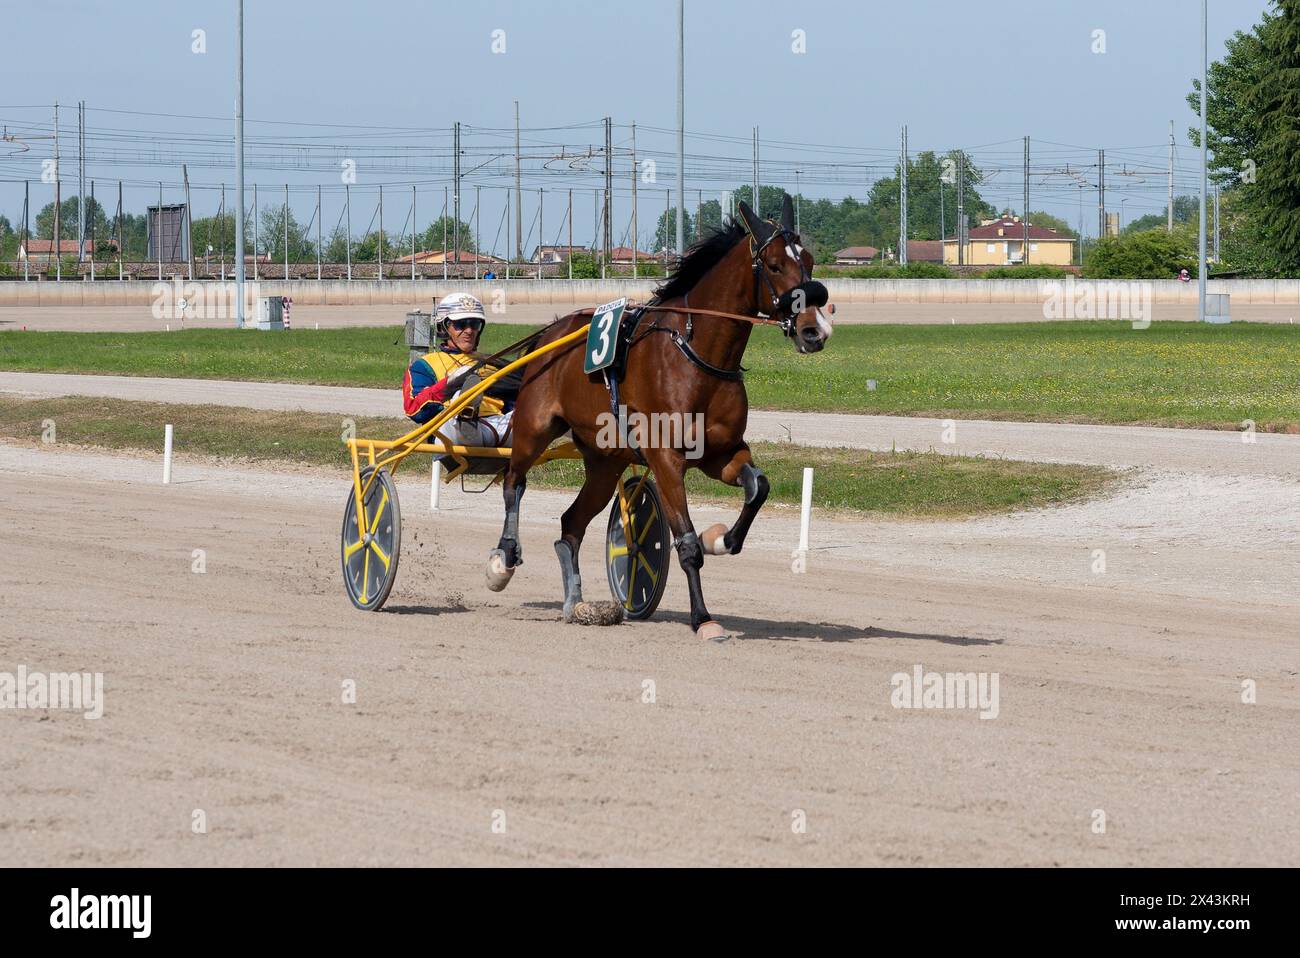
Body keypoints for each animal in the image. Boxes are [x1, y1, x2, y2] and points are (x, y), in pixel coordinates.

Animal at [488, 194, 832, 639]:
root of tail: (550, 333)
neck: (695, 354)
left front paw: (719, 539)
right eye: (774, 265)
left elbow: (759, 488)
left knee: (570, 525)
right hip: (534, 428)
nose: (814, 331)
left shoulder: (721, 453)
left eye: (808, 260)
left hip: (605, 463)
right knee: (514, 483)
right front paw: (703, 618)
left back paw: (574, 602)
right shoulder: (666, 458)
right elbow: (684, 541)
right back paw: (503, 560)